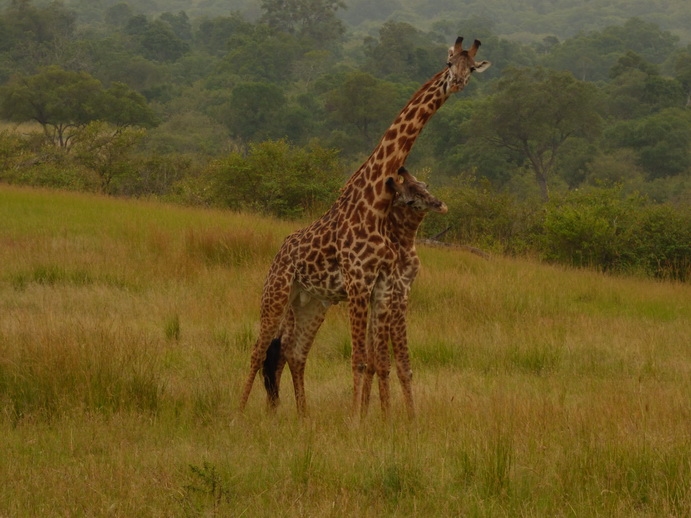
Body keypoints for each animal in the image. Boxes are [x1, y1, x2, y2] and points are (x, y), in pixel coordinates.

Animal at [264, 169, 448, 420]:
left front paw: (369, 412)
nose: (440, 205)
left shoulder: (390, 293)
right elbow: (395, 362)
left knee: (284, 349)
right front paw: (403, 417)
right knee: (281, 349)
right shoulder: (398, 292)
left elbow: (374, 360)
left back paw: (281, 408)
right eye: (413, 195)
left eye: (425, 186)